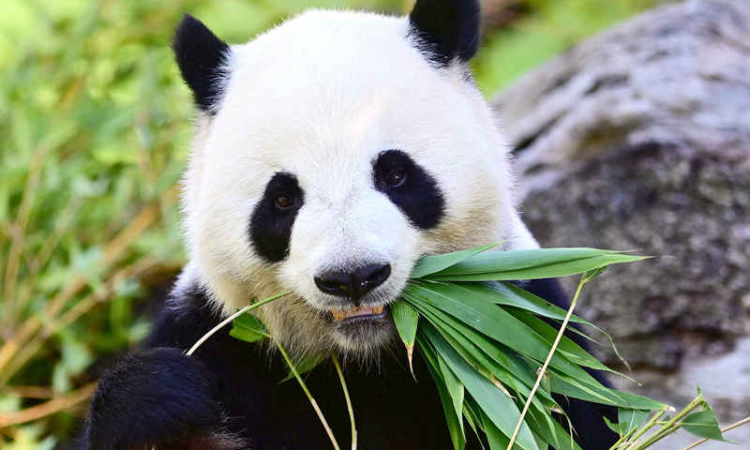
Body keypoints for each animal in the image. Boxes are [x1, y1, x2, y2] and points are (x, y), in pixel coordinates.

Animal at [77, 1, 618, 449]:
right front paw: (159, 401)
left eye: (396, 175)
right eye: (282, 199)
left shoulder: (527, 337)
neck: (366, 360)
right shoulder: (224, 336)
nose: (353, 278)